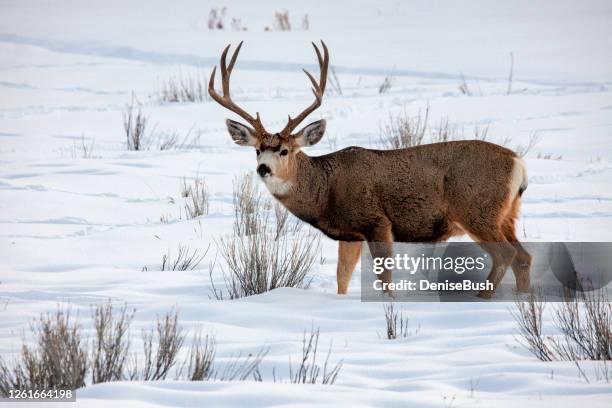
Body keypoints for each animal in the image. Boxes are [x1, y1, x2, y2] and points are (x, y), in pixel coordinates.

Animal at [209, 41, 532, 298]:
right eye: (257, 150)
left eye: (284, 150)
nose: (263, 169)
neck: (325, 189)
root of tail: (518, 163)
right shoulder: (349, 234)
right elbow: (342, 278)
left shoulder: (376, 220)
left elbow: (384, 275)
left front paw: (389, 302)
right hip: (506, 214)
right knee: (523, 257)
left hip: (476, 209)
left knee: (506, 254)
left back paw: (482, 297)